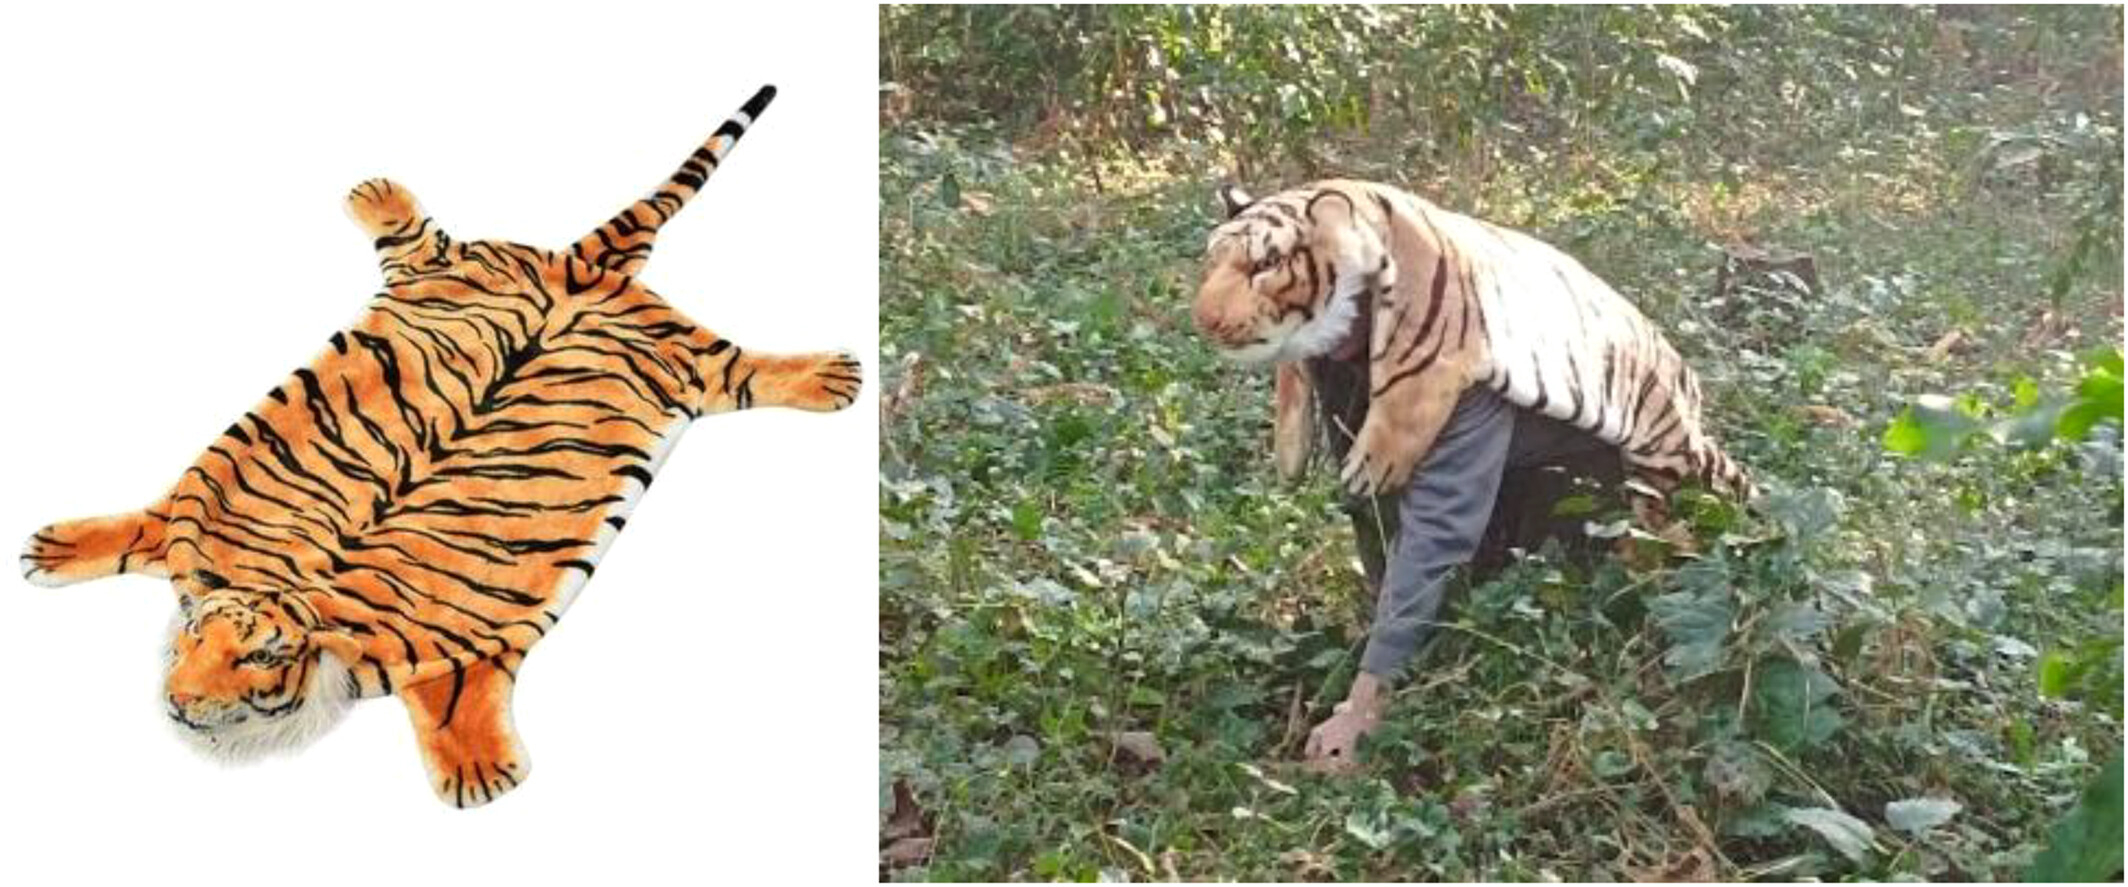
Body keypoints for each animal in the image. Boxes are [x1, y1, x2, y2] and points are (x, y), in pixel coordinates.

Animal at [19, 84, 863, 808]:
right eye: (192, 639)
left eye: (257, 658)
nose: (180, 699)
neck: (300, 598)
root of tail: (581, 264)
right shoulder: (192, 519)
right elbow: (145, 523)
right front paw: (50, 548)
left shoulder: (461, 649)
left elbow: (459, 703)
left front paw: (481, 774)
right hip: (453, 276)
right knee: (422, 241)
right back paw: (376, 192)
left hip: (685, 358)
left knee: (744, 366)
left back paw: (833, 373)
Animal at [1192, 179, 1754, 521]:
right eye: (1212, 260)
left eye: (1265, 265)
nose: (1205, 319)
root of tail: (1690, 389)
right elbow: (1290, 378)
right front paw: (1287, 455)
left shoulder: (1428, 349)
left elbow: (1399, 401)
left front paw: (1365, 469)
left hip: (1656, 454)